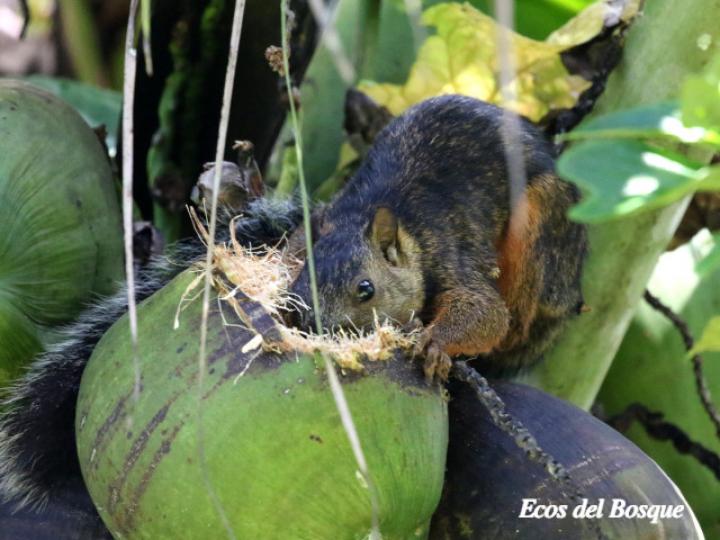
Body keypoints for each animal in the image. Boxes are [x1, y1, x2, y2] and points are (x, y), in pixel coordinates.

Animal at [288, 95, 587, 378]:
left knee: (516, 327)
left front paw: (433, 342)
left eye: (366, 289)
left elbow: (487, 311)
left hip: (544, 225)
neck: (361, 213)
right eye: (301, 278)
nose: (319, 328)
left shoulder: (447, 253)